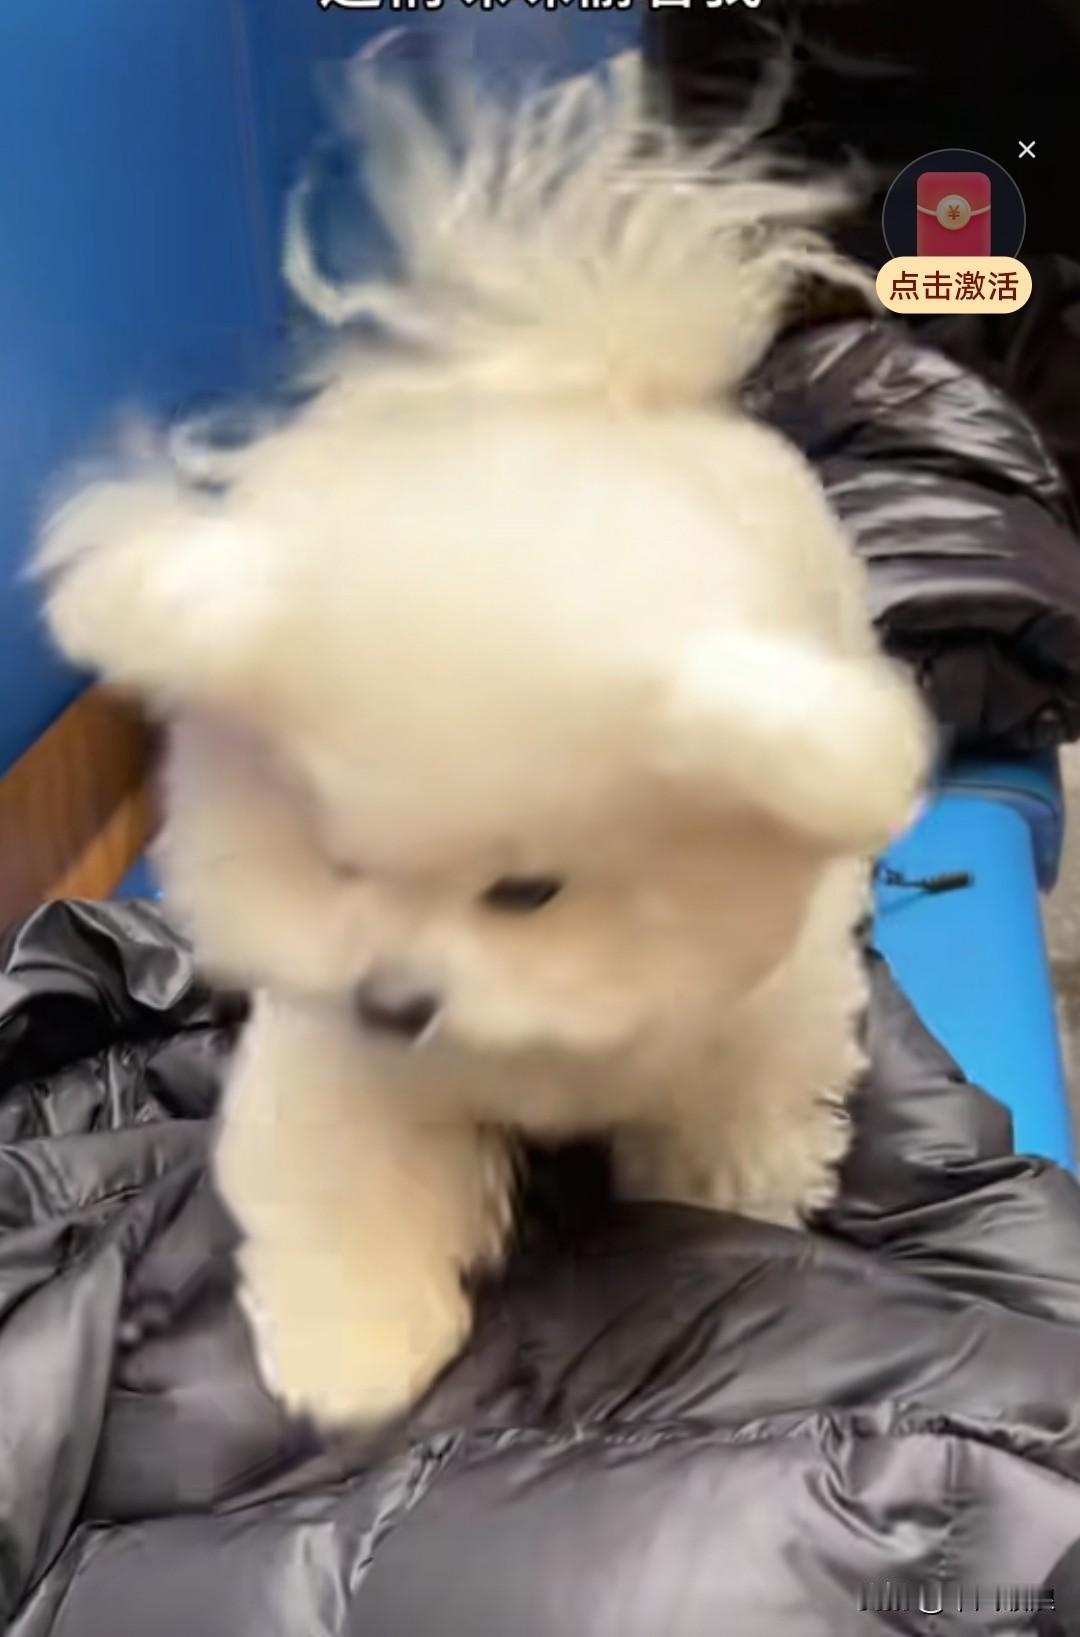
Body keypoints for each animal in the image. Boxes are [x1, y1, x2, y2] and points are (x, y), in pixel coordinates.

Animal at [35, 53, 930, 1426]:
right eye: (340, 865)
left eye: (528, 891)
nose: (396, 999)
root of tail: (589, 377)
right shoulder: (344, 1055)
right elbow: (347, 1178)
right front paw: (351, 1350)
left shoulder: (750, 1026)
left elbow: (724, 1152)